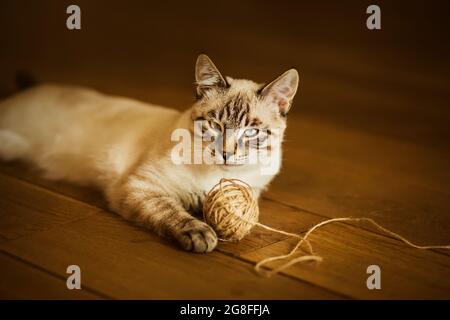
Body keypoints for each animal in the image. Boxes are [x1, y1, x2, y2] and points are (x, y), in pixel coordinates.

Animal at [0, 55, 298, 252]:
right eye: (215, 125)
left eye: (251, 132)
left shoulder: (252, 188)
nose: (225, 153)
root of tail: (34, 88)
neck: (215, 176)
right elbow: (172, 212)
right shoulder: (142, 186)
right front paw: (201, 234)